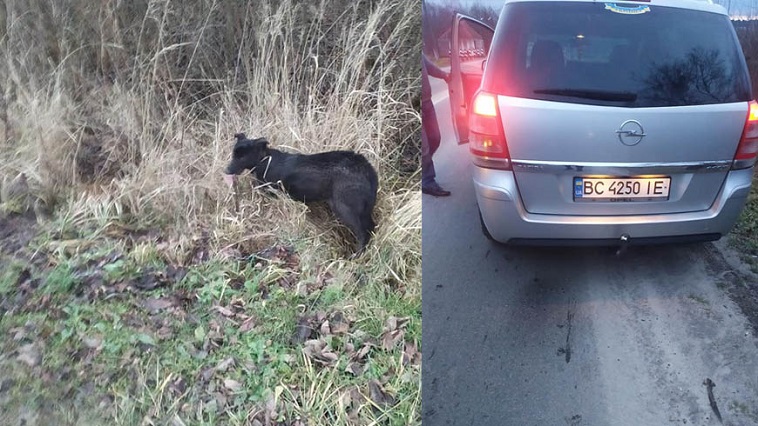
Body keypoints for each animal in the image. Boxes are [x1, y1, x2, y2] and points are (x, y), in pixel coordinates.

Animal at [226, 133, 380, 253]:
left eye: (242, 157)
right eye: (233, 154)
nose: (226, 170)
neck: (265, 161)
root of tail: (368, 170)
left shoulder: (273, 195)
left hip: (345, 207)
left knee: (364, 232)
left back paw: (356, 256)